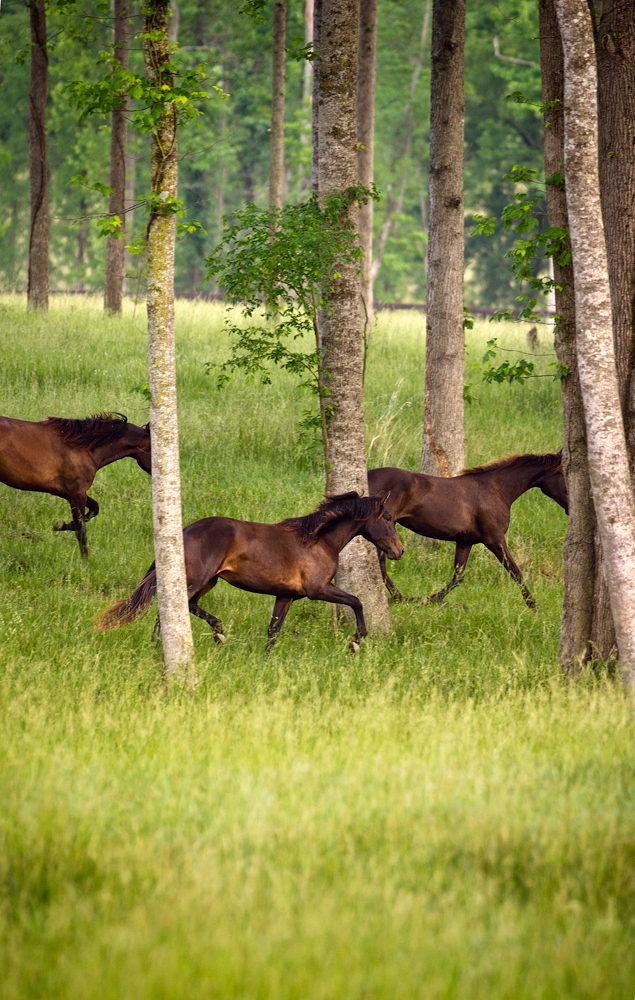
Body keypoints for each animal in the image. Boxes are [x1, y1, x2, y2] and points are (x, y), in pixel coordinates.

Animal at [0, 412, 152, 556]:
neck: (83, 448)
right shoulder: (76, 494)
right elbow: (81, 531)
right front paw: (85, 560)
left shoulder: (70, 492)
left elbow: (94, 509)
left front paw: (61, 525)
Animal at [97, 494, 404, 652]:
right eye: (388, 518)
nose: (399, 551)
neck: (318, 540)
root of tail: (182, 532)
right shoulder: (319, 590)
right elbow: (357, 601)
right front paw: (356, 641)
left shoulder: (286, 596)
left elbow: (273, 630)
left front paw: (266, 661)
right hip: (197, 580)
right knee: (172, 609)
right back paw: (162, 647)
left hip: (209, 581)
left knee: (189, 606)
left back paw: (217, 634)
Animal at [368, 450, 568, 604]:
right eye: (564, 475)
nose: (570, 507)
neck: (497, 489)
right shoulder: (495, 539)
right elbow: (516, 571)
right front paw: (532, 605)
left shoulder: (465, 541)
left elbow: (458, 576)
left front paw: (431, 599)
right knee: (381, 565)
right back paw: (399, 598)